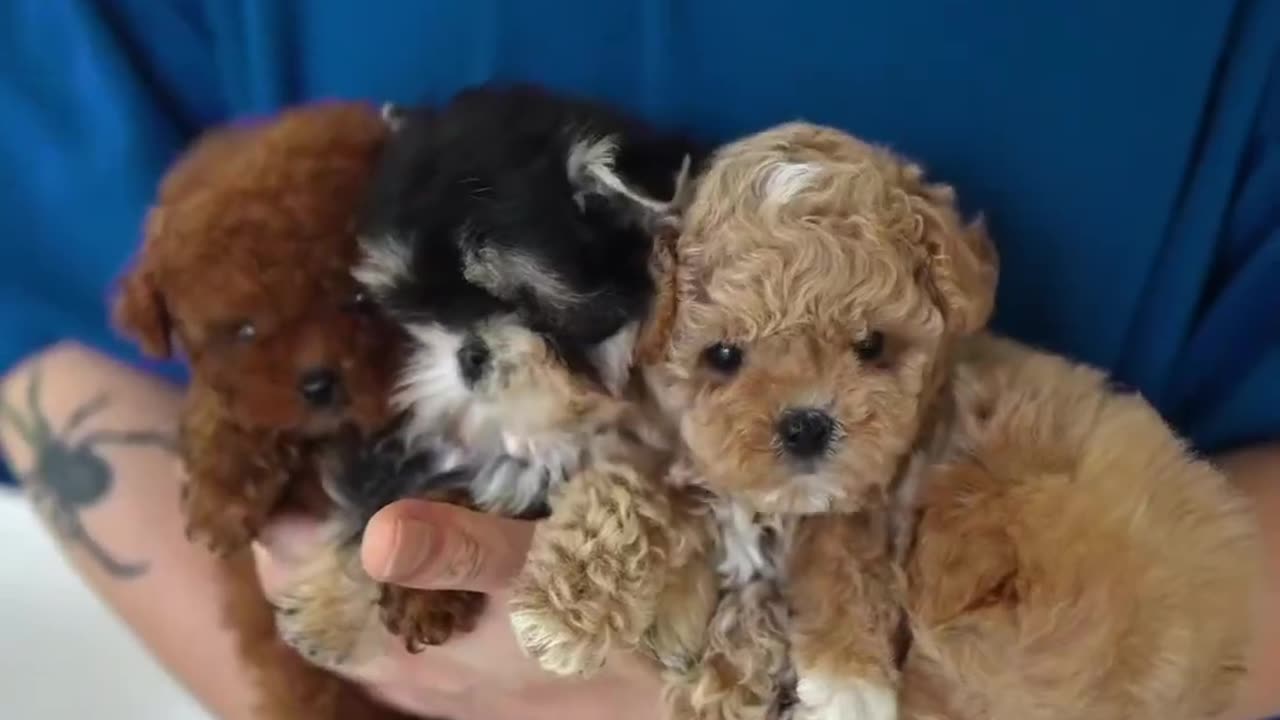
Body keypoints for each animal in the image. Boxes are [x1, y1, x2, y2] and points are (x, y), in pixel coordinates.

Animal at [276, 81, 711, 671]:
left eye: (517, 300)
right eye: (416, 308)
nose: (467, 355)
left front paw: (678, 610)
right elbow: (371, 496)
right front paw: (324, 611)